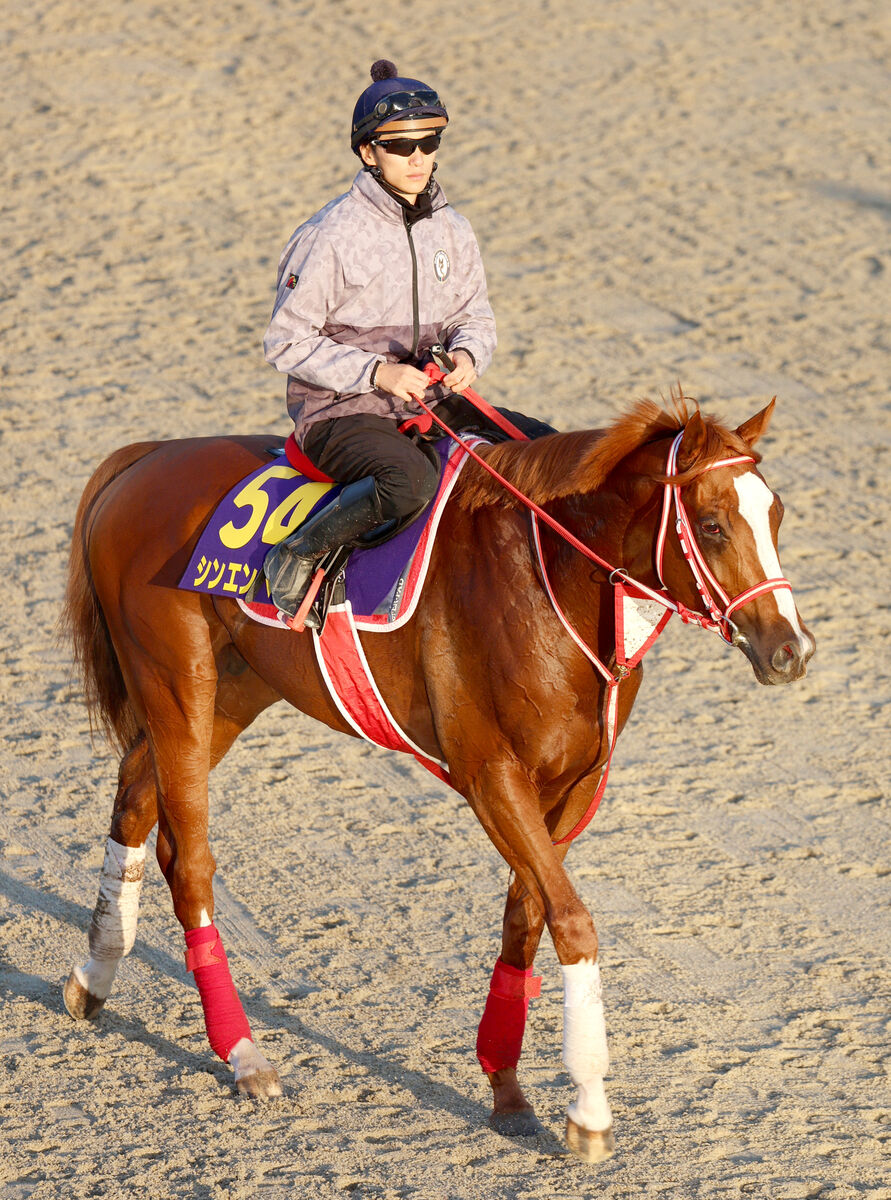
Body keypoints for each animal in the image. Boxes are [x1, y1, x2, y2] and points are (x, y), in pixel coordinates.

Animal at [60, 393, 816, 1161]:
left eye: (777, 514)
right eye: (713, 525)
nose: (790, 650)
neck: (543, 582)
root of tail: (145, 457)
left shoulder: (572, 784)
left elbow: (525, 918)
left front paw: (507, 1087)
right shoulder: (491, 774)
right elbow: (572, 921)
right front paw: (589, 1108)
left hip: (231, 693)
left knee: (135, 801)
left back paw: (94, 975)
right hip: (178, 684)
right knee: (189, 861)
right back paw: (244, 1054)